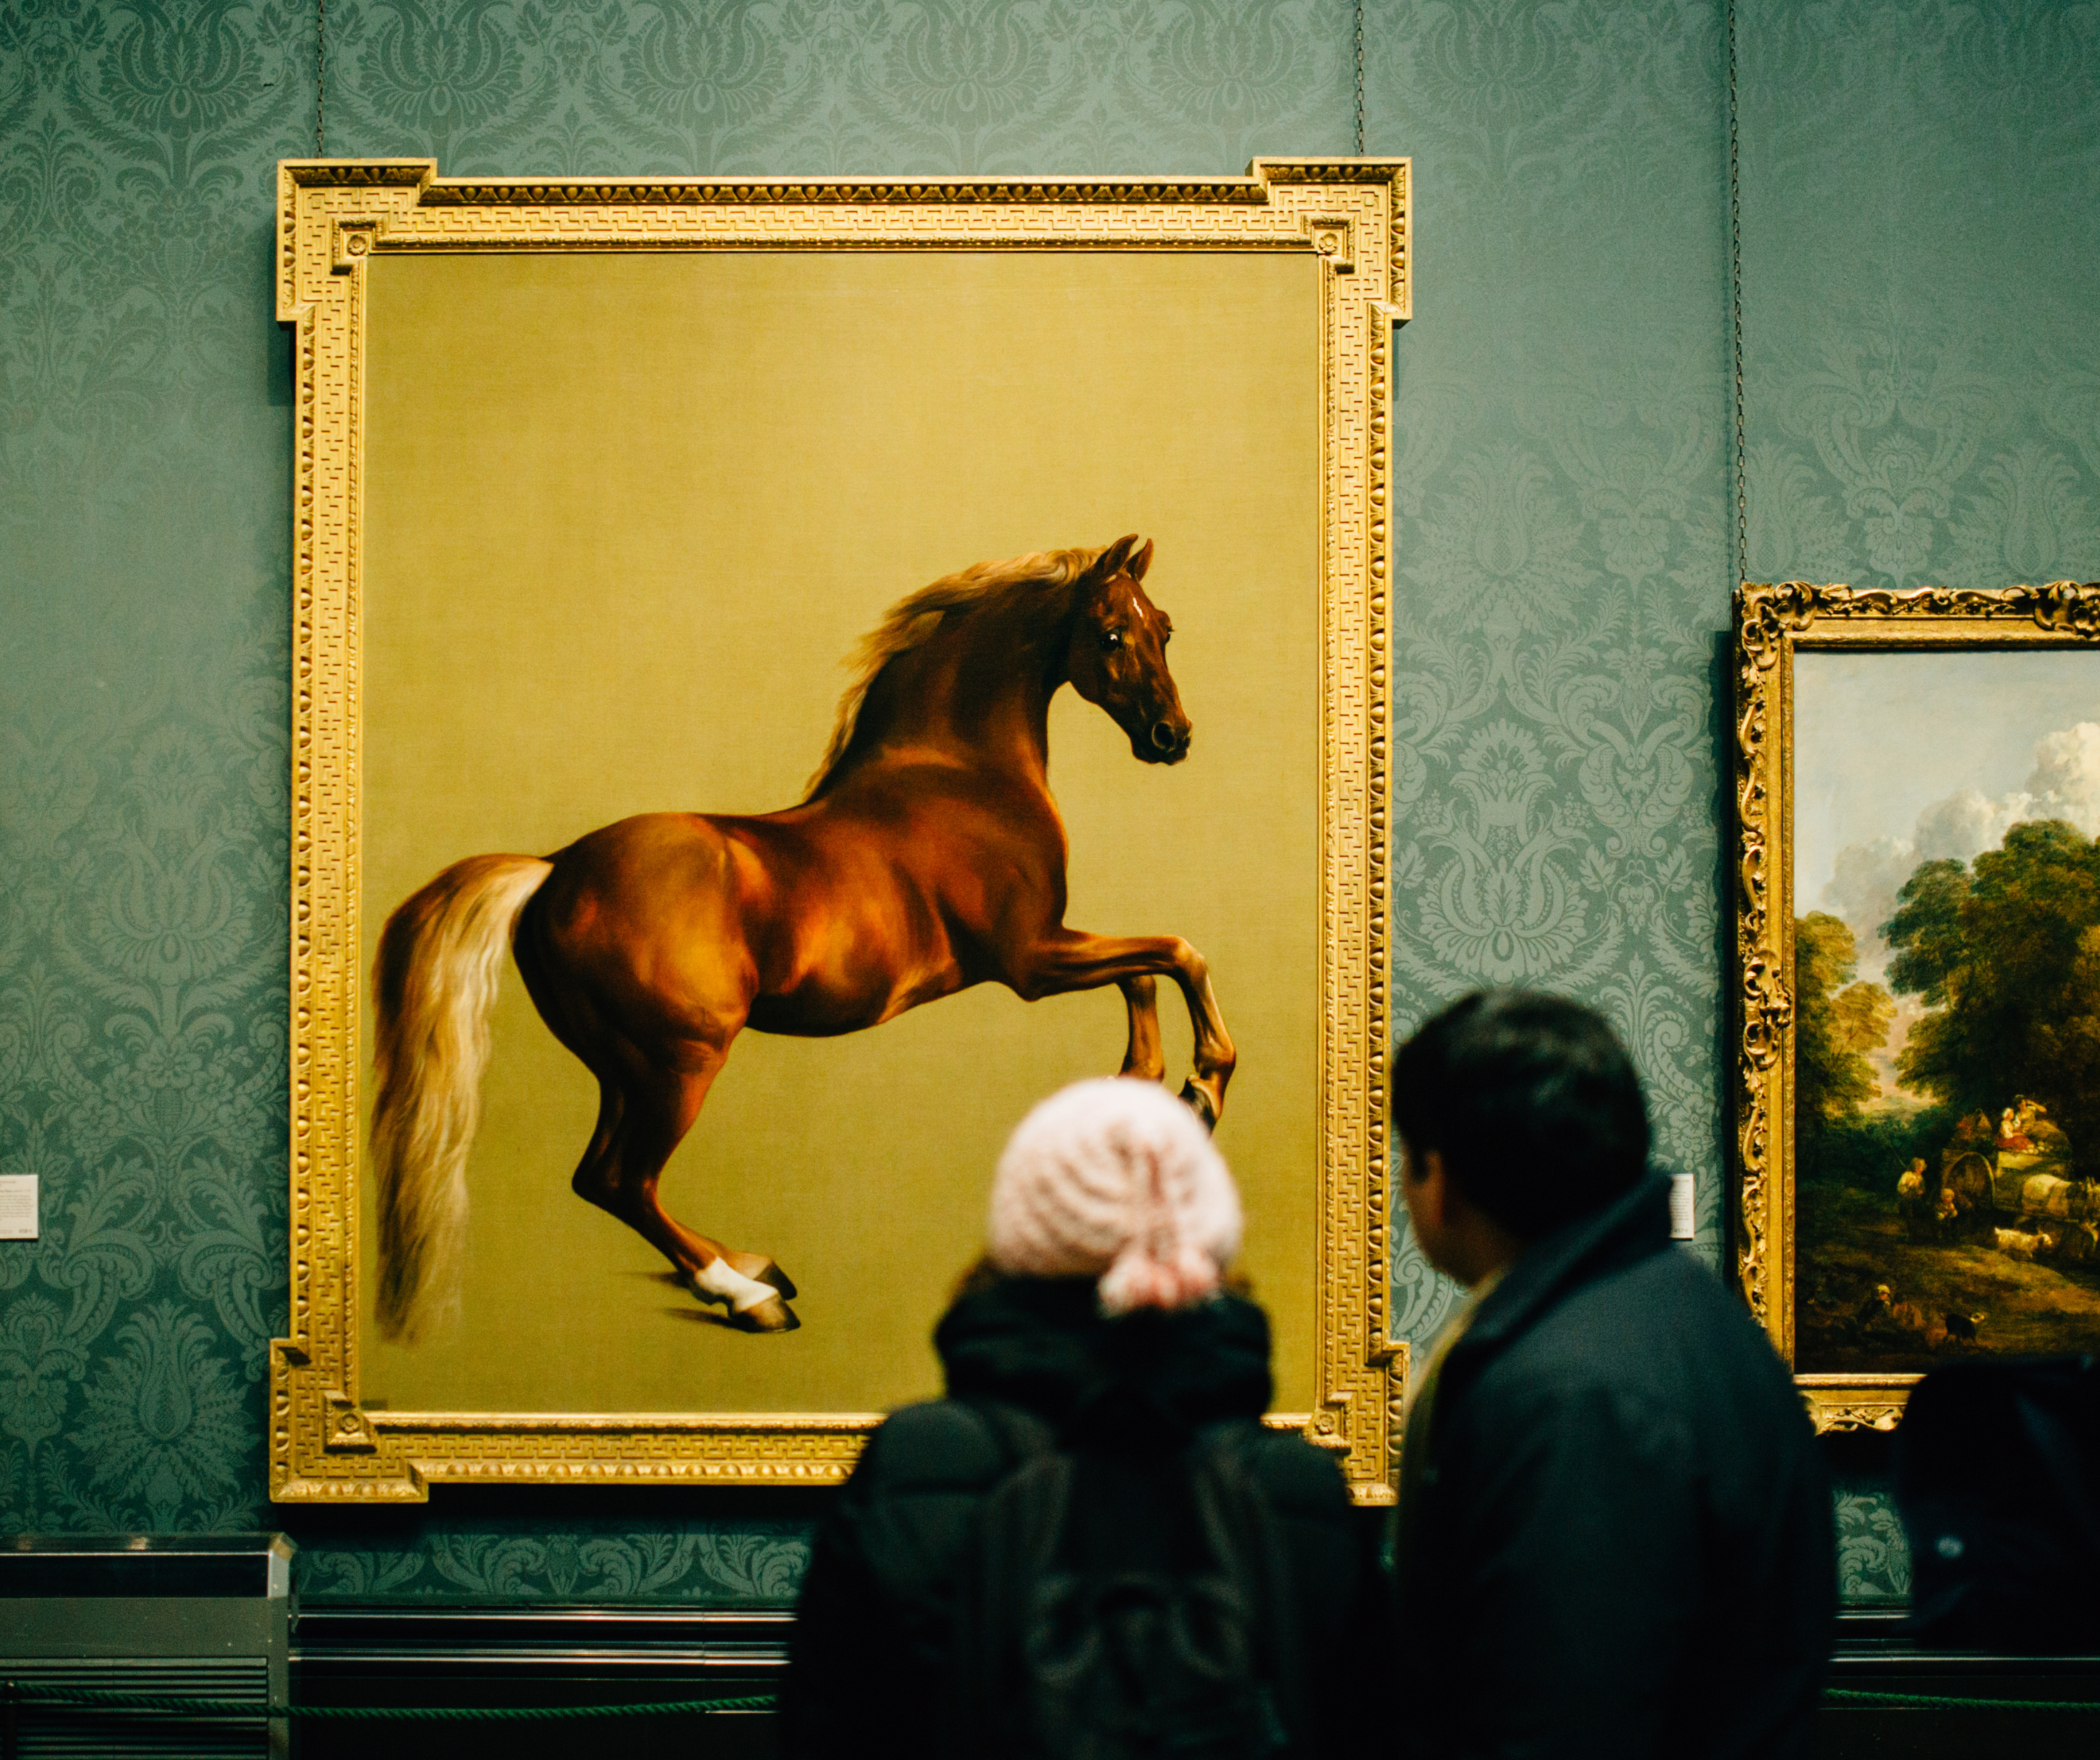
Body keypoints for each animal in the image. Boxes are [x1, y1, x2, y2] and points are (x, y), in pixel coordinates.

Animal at [373, 533, 1226, 1336]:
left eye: (1166, 628)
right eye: (1111, 635)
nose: (1172, 736)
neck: (959, 775)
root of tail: (553, 870)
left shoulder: (1051, 947)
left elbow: (1145, 971)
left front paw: (1144, 1092)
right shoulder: (1032, 959)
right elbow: (1177, 953)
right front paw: (1202, 1088)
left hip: (622, 1068)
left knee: (602, 1179)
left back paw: (747, 1266)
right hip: (680, 1062)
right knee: (621, 1180)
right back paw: (746, 1294)